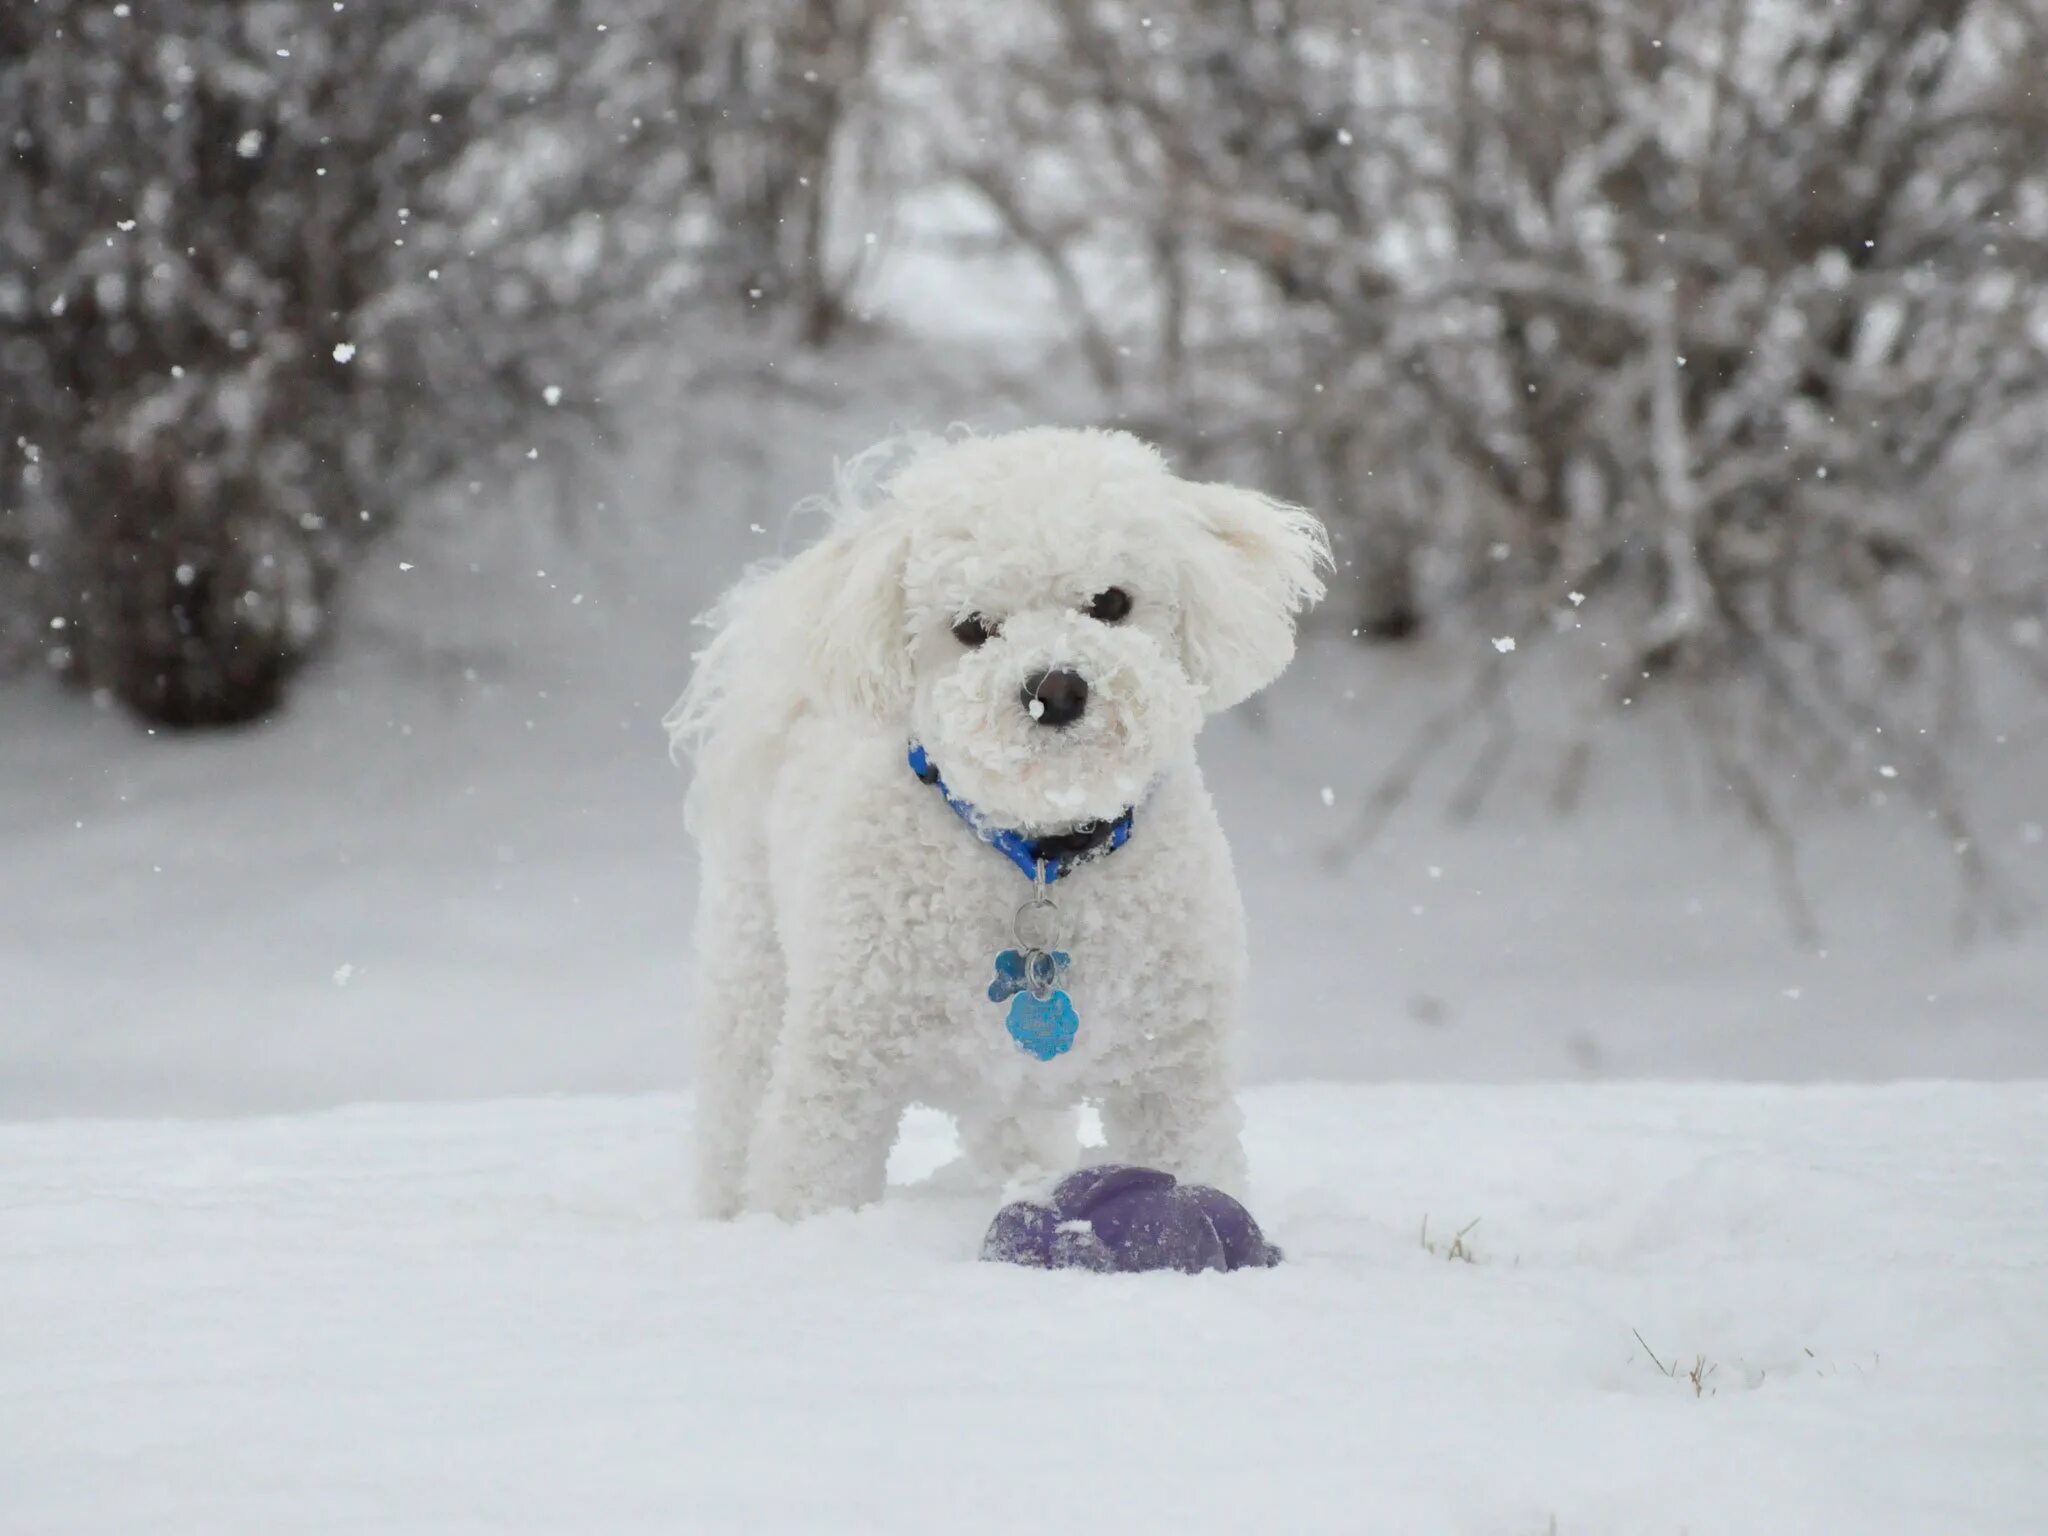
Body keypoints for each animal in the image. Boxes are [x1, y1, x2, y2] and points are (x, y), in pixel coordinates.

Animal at [671, 428, 1327, 1220]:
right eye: (971, 629)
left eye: (1110, 601)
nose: (1057, 689)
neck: (1040, 853)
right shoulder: (839, 1069)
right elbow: (812, 1180)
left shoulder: (1174, 1070)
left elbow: (1194, 1164)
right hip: (752, 967)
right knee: (734, 1103)